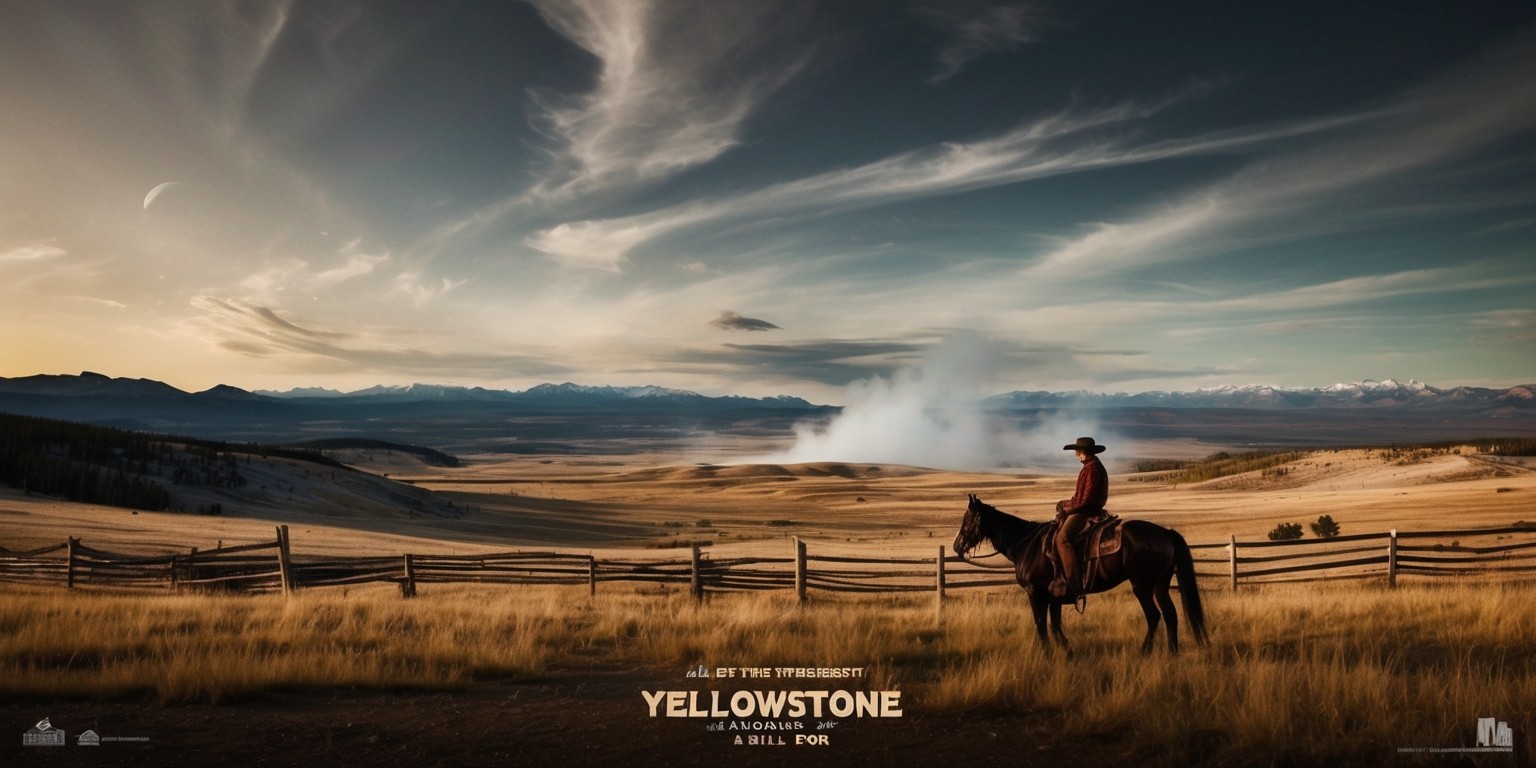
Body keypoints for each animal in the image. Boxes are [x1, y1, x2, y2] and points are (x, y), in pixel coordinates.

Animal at [946, 491, 1210, 654]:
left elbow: (1041, 625)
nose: (957, 546)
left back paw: (1144, 653)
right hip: (1160, 585)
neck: (1026, 544)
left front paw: (1046, 654)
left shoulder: (1035, 593)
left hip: (1142, 586)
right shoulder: (1054, 596)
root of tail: (1165, 533)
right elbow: (1055, 625)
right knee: (1171, 615)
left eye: (967, 519)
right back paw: (1172, 653)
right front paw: (1067, 652)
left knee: (1154, 616)